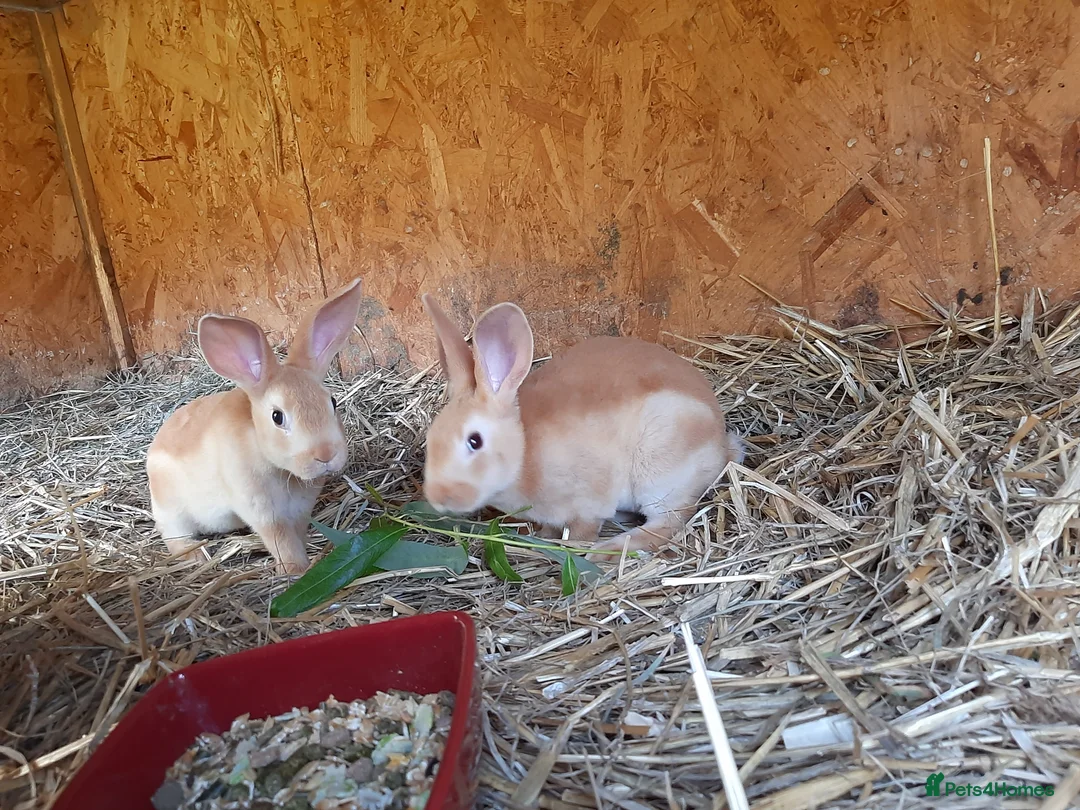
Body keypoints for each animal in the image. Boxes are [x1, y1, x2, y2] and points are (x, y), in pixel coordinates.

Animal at [146, 278, 366, 575]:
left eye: (332, 402)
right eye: (277, 417)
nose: (326, 455)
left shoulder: (299, 510)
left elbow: (296, 533)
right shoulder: (262, 509)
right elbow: (280, 539)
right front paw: (295, 570)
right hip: (171, 510)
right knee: (174, 536)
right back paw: (196, 556)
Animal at [419, 294, 743, 562]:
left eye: (475, 441)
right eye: (430, 438)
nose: (438, 497)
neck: (525, 451)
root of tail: (723, 447)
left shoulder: (589, 504)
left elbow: (583, 530)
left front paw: (571, 547)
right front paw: (544, 536)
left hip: (661, 471)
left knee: (667, 523)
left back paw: (606, 551)